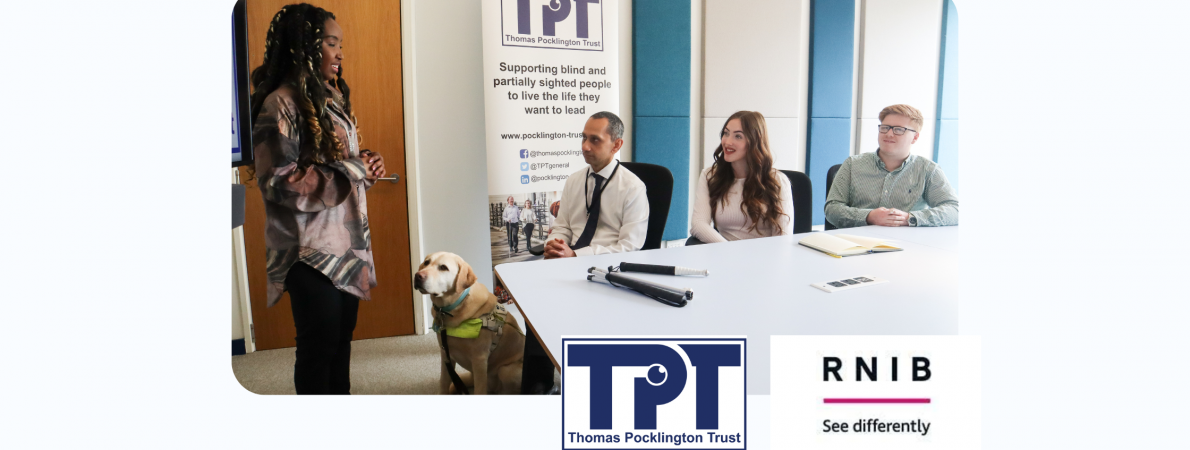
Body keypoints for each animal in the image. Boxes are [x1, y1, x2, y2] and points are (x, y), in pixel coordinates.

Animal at [416, 251, 523, 395]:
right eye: (426, 262)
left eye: (443, 267)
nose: (418, 276)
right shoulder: (445, 355)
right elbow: (443, 381)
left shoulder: (479, 359)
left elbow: (479, 390)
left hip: (507, 371)